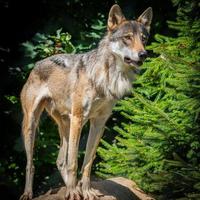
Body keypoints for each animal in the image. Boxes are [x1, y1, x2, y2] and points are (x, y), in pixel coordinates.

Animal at [19, 4, 152, 200]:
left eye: (143, 39)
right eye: (127, 38)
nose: (143, 54)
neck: (110, 76)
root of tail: (37, 64)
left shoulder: (99, 123)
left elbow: (88, 162)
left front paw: (86, 191)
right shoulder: (79, 118)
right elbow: (74, 162)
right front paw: (74, 192)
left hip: (66, 125)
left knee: (60, 161)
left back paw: (71, 187)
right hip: (32, 124)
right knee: (31, 164)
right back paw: (30, 193)